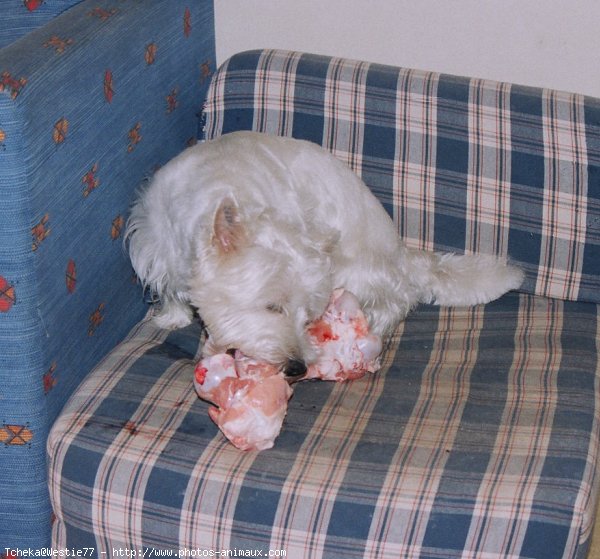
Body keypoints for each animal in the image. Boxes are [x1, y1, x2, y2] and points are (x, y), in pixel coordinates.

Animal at [125, 131, 520, 374]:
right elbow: (169, 286)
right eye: (272, 307)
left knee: (397, 297)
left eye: (308, 316)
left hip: (356, 267)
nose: (297, 368)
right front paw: (172, 317)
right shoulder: (156, 241)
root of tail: (402, 252)